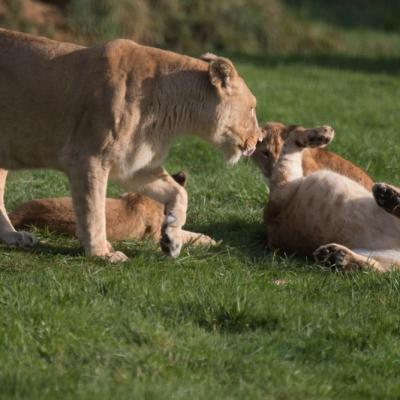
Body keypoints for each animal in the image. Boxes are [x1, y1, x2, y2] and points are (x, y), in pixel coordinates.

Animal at [0, 30, 260, 262]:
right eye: (252, 108)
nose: (258, 141)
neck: (171, 114)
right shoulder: (89, 158)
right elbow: (93, 210)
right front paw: (101, 253)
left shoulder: (136, 165)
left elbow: (179, 192)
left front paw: (172, 238)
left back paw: (14, 237)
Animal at [253, 122, 400, 272]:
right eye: (265, 154)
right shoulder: (282, 186)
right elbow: (293, 136)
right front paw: (321, 134)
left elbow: (291, 136)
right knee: (375, 268)